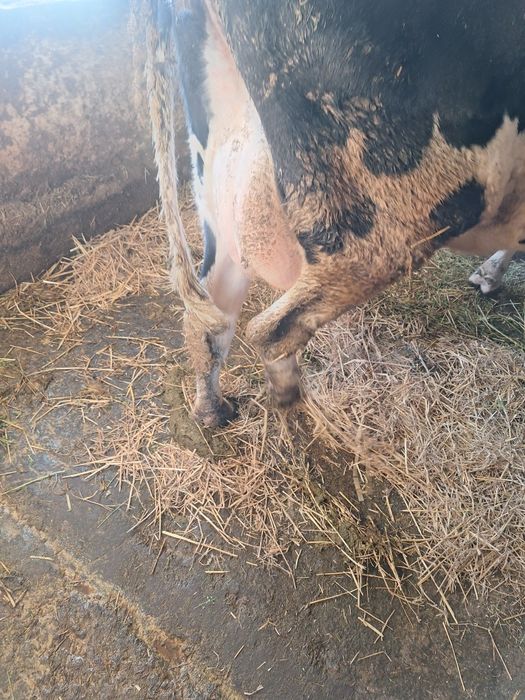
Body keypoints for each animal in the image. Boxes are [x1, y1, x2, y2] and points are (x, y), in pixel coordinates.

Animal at [143, 0, 525, 427]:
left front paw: (489, 273)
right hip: (386, 223)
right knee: (270, 330)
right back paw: (297, 411)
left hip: (223, 185)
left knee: (211, 314)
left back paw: (213, 411)